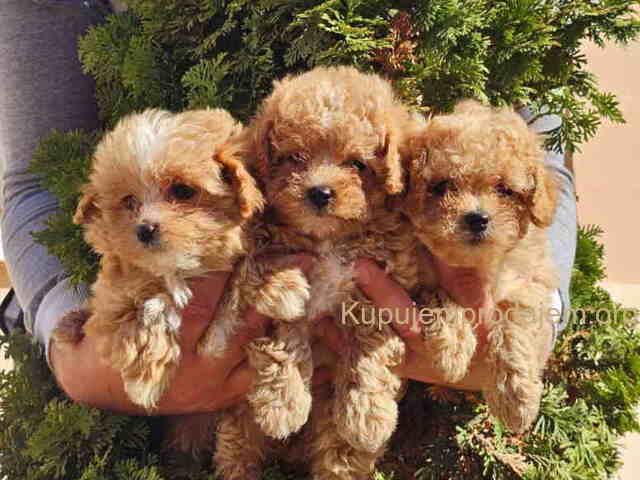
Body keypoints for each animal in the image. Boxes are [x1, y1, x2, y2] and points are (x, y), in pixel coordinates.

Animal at [211, 66, 420, 480]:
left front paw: (367, 414)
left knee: (339, 452)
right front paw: (282, 404)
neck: (328, 240)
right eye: (294, 157)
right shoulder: (282, 282)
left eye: (357, 163)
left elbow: (370, 343)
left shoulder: (377, 286)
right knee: (237, 442)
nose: (320, 192)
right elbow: (285, 335)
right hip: (238, 417)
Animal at [402, 100, 559, 433]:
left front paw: (514, 396)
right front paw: (453, 346)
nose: (477, 218)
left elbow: (516, 317)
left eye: (505, 190)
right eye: (442, 186)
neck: (473, 265)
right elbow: (438, 296)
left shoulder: (530, 280)